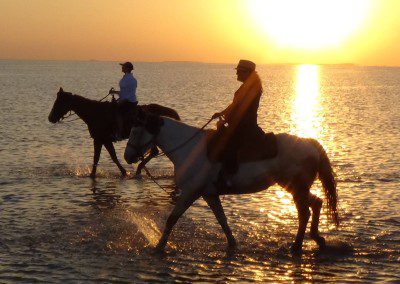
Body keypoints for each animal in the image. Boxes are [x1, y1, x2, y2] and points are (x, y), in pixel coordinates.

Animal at [48, 87, 180, 179]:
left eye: (58, 102)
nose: (50, 118)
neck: (95, 113)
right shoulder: (102, 140)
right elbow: (107, 157)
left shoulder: (101, 139)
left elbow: (104, 157)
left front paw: (123, 172)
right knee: (154, 152)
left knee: (154, 152)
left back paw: (138, 170)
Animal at [124, 113, 338, 253]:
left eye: (135, 132)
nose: (127, 157)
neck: (190, 148)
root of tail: (310, 143)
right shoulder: (209, 193)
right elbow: (222, 220)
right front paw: (232, 243)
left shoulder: (191, 192)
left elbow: (172, 219)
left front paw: (159, 246)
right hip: (295, 188)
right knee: (316, 203)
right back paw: (317, 239)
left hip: (296, 188)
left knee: (305, 213)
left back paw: (297, 245)